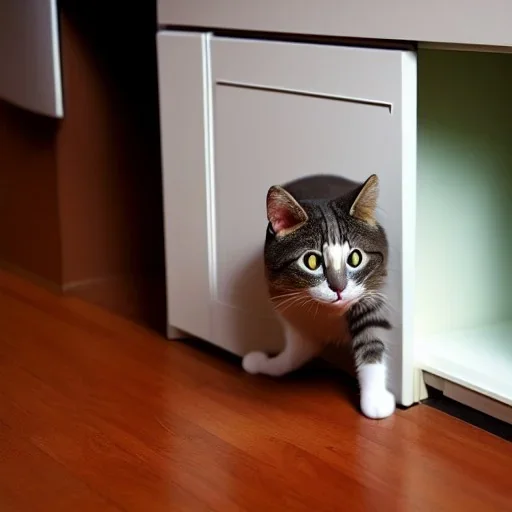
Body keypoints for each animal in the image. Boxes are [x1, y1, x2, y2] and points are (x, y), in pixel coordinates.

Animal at [242, 174, 394, 418]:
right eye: (311, 261)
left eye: (355, 258)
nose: (339, 288)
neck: (327, 315)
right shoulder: (291, 312)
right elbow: (295, 354)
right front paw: (265, 364)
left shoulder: (368, 296)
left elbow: (371, 340)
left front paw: (375, 400)